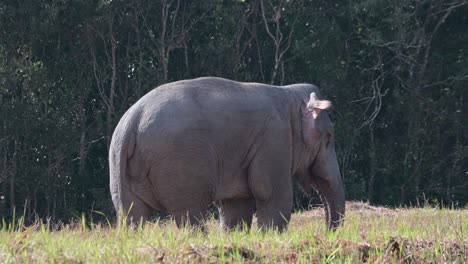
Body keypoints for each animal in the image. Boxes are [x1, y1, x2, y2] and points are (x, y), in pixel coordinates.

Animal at [109, 76, 344, 231]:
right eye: (329, 137)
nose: (326, 232)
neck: (289, 95)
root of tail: (132, 121)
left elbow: (235, 206)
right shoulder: (274, 140)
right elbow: (271, 194)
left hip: (119, 166)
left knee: (132, 215)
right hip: (178, 164)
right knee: (189, 213)